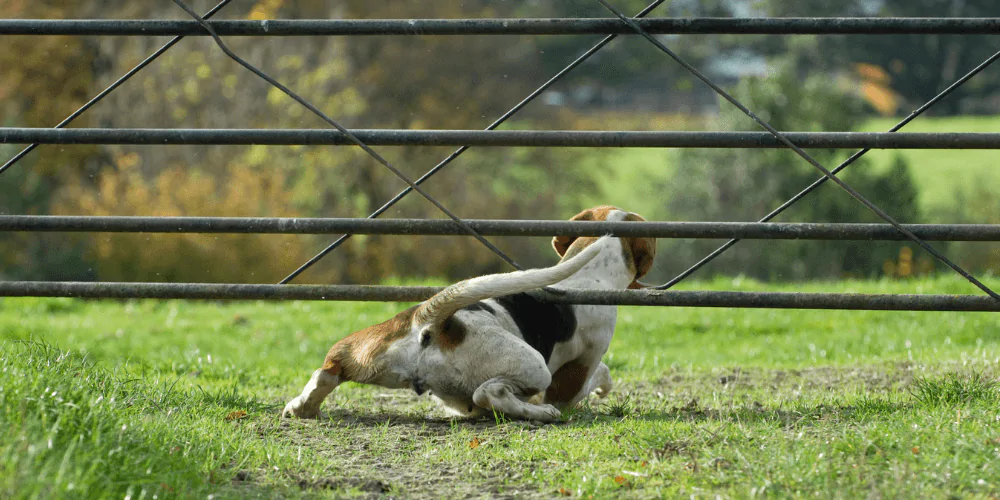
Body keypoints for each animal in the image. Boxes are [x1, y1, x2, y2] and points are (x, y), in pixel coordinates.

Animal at [284, 206, 656, 422]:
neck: (590, 274)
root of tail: (433, 321)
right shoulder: (577, 374)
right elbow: (598, 376)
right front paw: (600, 390)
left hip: (366, 354)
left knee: (327, 371)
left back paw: (303, 407)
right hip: (534, 367)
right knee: (490, 394)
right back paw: (541, 413)